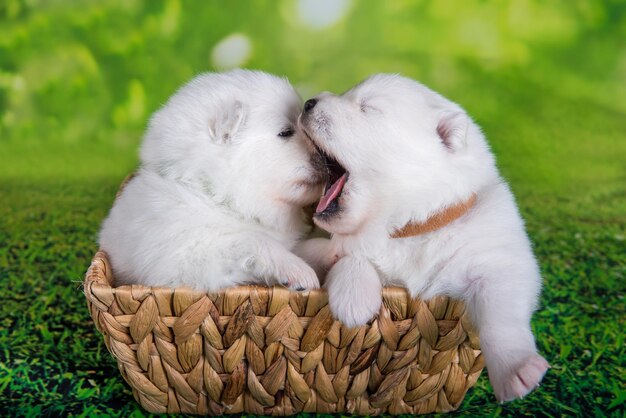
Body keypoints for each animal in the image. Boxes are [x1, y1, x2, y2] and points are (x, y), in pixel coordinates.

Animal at [296, 74, 544, 402]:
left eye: (368, 108)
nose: (308, 103)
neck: (405, 227)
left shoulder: (497, 258)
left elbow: (500, 314)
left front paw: (518, 370)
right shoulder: (327, 244)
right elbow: (346, 255)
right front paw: (354, 301)